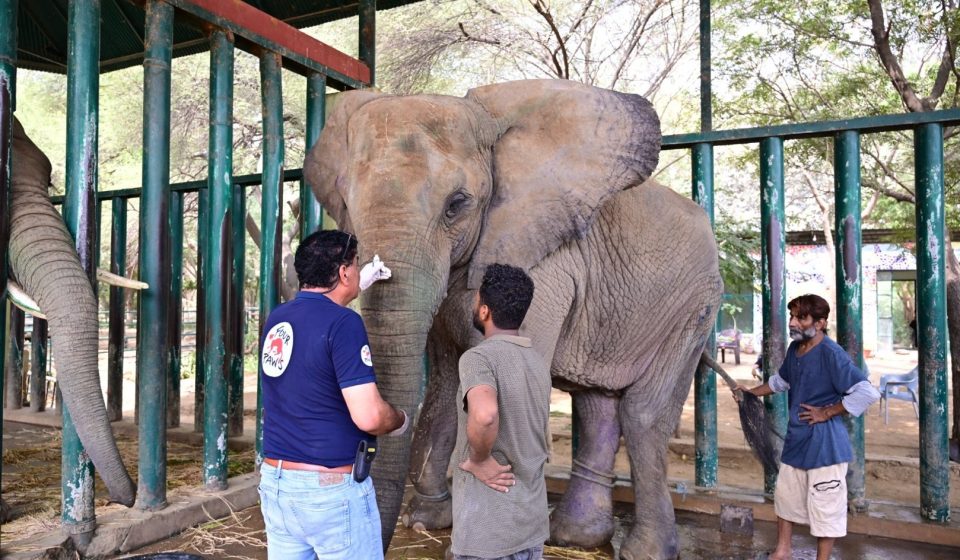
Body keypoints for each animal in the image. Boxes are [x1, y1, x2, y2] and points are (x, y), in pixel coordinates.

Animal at [304, 79, 722, 559]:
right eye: (346, 204)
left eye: (457, 205)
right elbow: (448, 382)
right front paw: (427, 520)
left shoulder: (544, 266)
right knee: (597, 405)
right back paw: (573, 536)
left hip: (694, 304)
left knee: (642, 416)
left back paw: (640, 551)